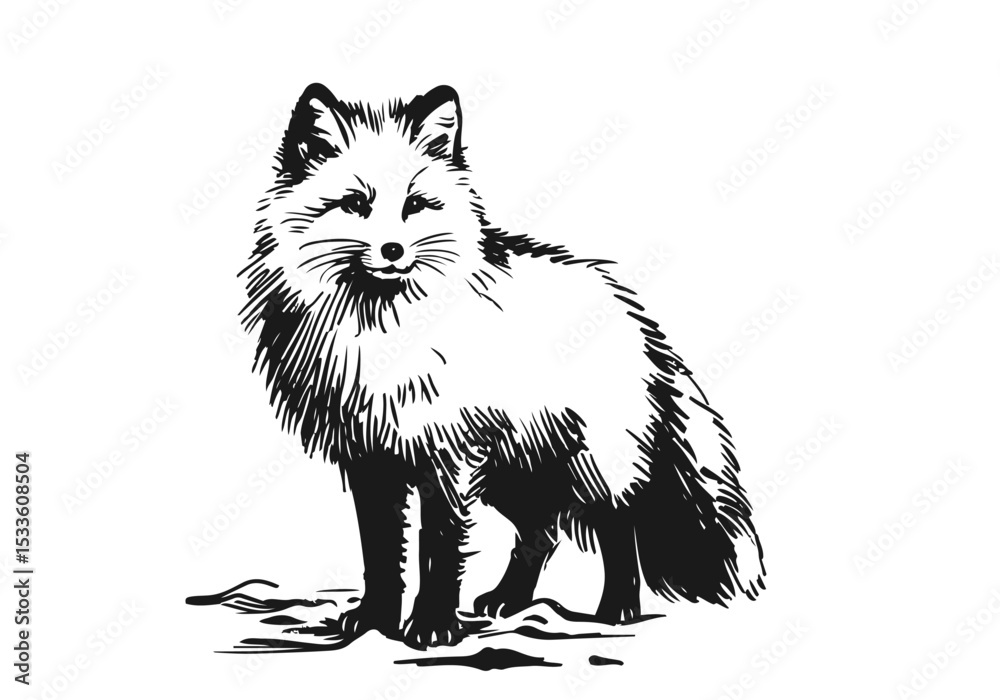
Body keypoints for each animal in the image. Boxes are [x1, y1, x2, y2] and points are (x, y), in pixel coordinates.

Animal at [239, 83, 765, 650]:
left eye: (415, 205)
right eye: (355, 204)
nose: (393, 249)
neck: (382, 337)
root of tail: (634, 315)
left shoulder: (445, 456)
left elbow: (439, 547)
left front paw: (431, 625)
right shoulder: (372, 459)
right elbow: (380, 553)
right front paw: (377, 620)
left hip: (585, 465)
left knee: (617, 526)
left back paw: (616, 611)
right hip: (514, 471)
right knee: (543, 533)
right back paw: (510, 601)